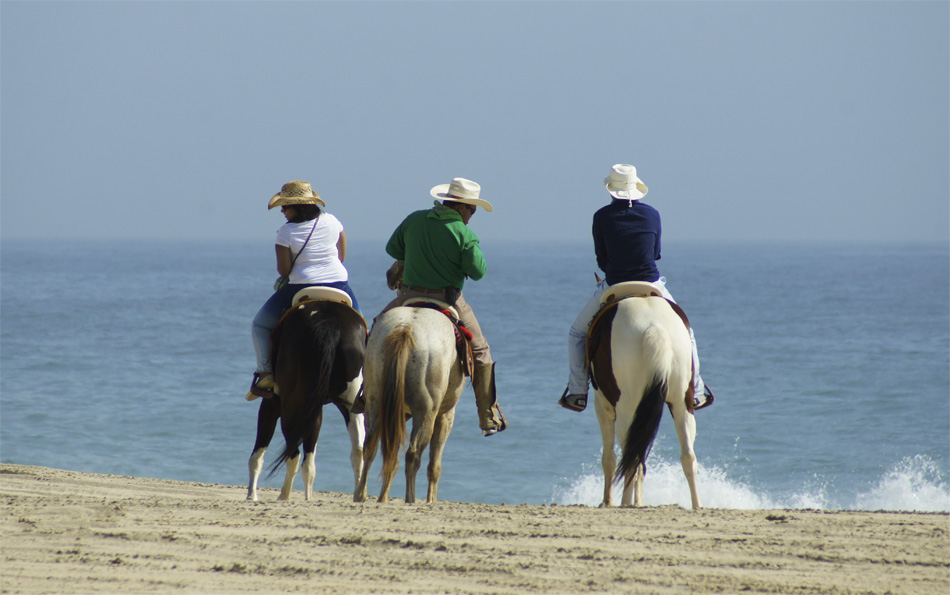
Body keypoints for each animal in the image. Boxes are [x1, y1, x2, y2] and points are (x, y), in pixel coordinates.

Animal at [247, 287, 367, 502]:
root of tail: (330, 323)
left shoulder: (272, 402)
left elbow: (258, 452)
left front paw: (251, 494)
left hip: (292, 405)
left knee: (293, 453)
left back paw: (284, 496)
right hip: (348, 402)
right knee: (356, 450)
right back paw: (357, 495)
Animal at [353, 302, 466, 504]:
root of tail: (406, 330)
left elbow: (391, 456)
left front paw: (383, 497)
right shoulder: (445, 415)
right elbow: (434, 465)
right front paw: (430, 500)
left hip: (375, 403)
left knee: (371, 445)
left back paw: (361, 495)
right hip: (426, 413)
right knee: (413, 454)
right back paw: (410, 499)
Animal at [589, 281, 702, 510]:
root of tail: (655, 329)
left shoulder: (603, 406)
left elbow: (609, 458)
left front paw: (607, 501)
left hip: (627, 409)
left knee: (631, 457)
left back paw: (625, 503)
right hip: (681, 404)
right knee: (687, 455)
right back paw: (696, 505)